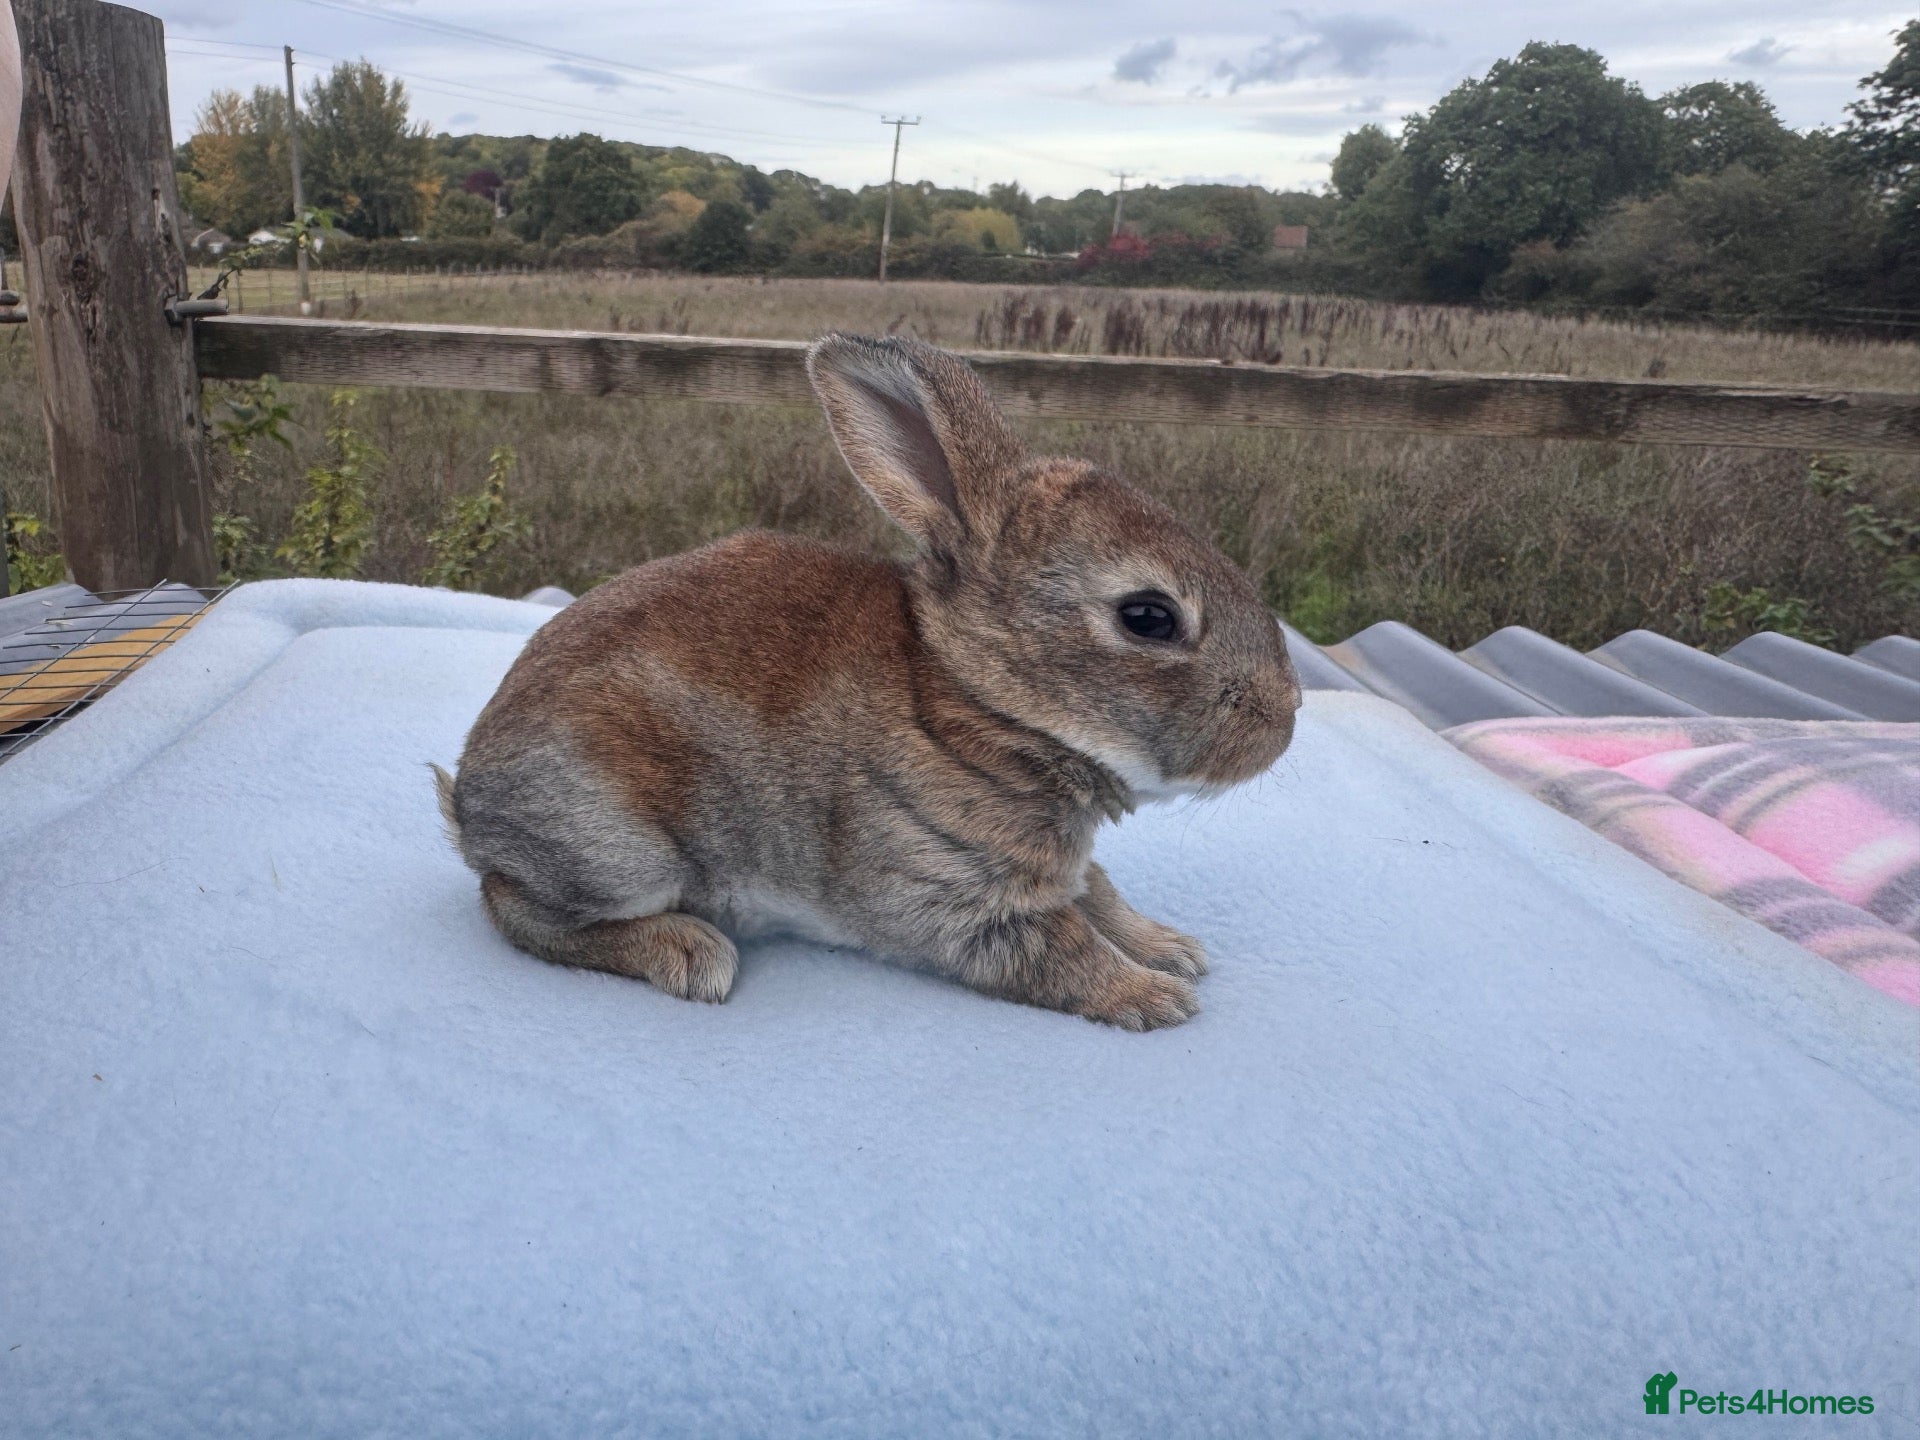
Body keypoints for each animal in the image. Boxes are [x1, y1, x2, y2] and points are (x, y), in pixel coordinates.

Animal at [435, 333, 1300, 1030]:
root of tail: (467, 806)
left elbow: (1100, 894)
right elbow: (1059, 949)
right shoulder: (949, 891)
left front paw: (1171, 947)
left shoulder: (1051, 869)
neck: (974, 703)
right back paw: (688, 953)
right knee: (515, 908)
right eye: (1148, 617)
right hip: (618, 846)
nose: (1285, 716)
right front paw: (1155, 997)